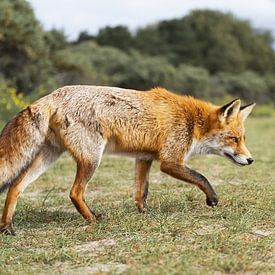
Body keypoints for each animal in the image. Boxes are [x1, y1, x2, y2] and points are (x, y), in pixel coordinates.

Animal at [0, 85, 256, 235]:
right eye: (234, 139)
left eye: (243, 138)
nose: (251, 159)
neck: (192, 121)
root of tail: (51, 95)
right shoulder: (170, 161)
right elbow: (201, 177)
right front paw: (212, 198)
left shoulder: (144, 158)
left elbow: (141, 192)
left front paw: (145, 213)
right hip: (92, 158)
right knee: (74, 192)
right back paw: (92, 219)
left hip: (49, 156)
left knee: (15, 186)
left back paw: (7, 227)